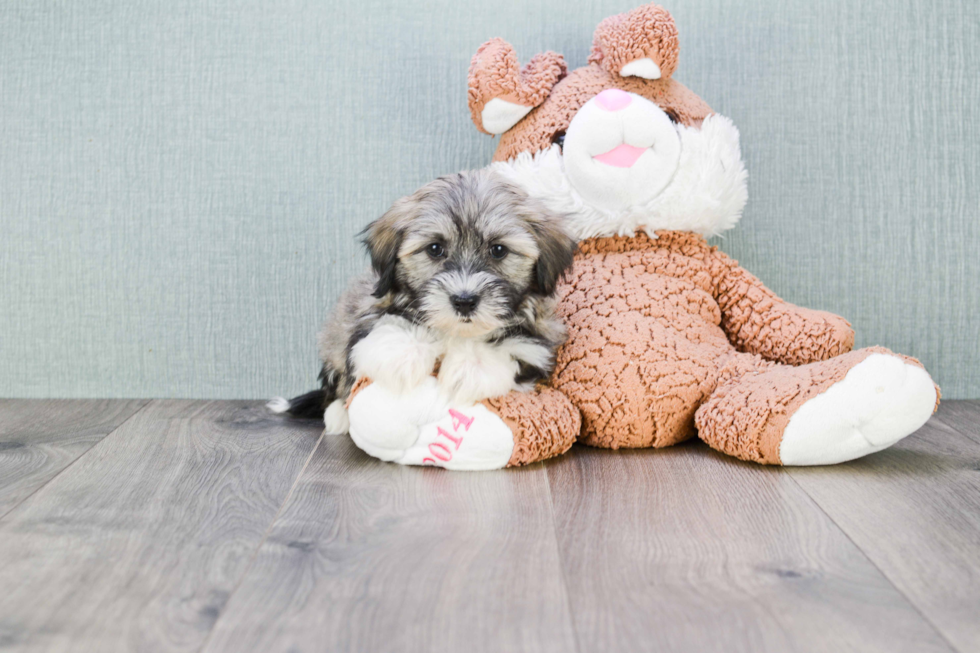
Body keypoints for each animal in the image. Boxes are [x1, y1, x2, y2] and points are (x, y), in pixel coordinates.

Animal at [268, 168, 576, 432]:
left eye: (498, 250)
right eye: (435, 249)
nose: (464, 300)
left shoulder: (538, 343)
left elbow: (513, 347)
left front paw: (469, 368)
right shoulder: (369, 311)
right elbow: (389, 325)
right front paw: (402, 356)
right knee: (335, 381)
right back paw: (338, 415)